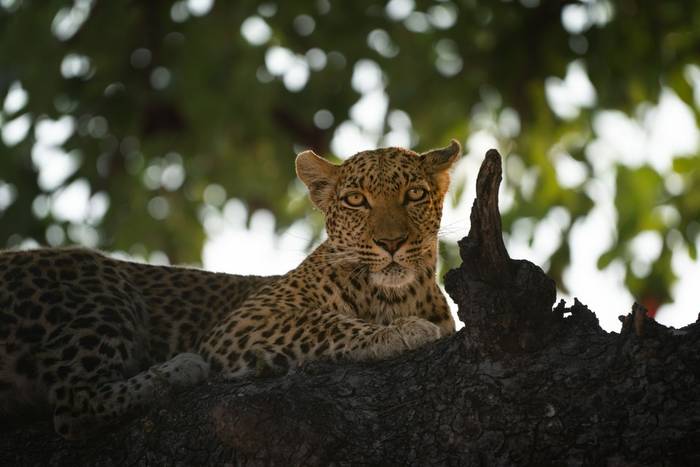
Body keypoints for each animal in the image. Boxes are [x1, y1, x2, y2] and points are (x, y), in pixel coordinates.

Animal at [0, 140, 461, 440]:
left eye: (415, 194)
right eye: (355, 201)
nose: (391, 243)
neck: (395, 295)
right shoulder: (243, 323)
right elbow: (326, 322)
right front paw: (401, 331)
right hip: (98, 280)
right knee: (74, 406)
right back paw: (182, 369)